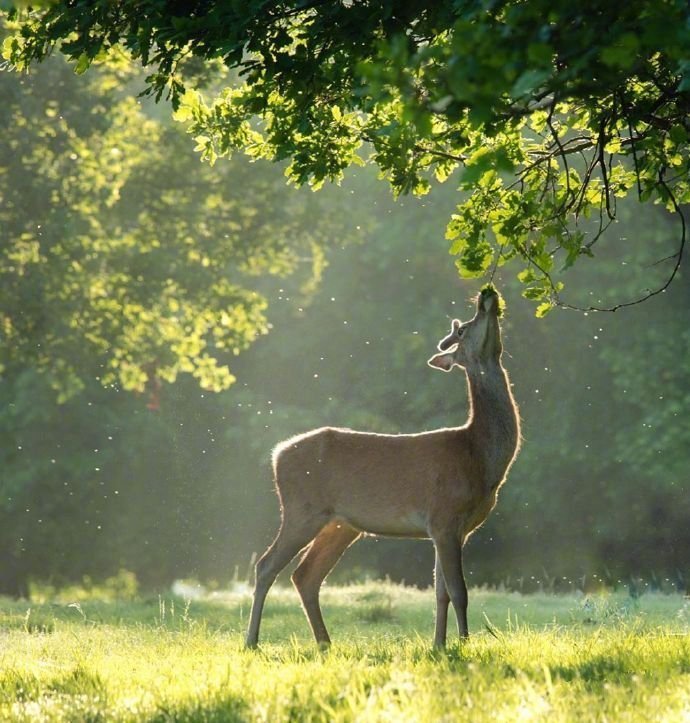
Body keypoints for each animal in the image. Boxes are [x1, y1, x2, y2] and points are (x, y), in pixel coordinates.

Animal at [245, 286, 520, 648]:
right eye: (462, 329)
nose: (486, 295)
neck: (479, 458)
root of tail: (276, 455)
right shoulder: (445, 516)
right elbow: (460, 591)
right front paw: (463, 643)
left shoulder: (451, 529)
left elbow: (441, 592)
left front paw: (439, 645)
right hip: (301, 509)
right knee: (266, 565)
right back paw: (252, 641)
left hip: (340, 524)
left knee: (305, 575)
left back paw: (325, 643)